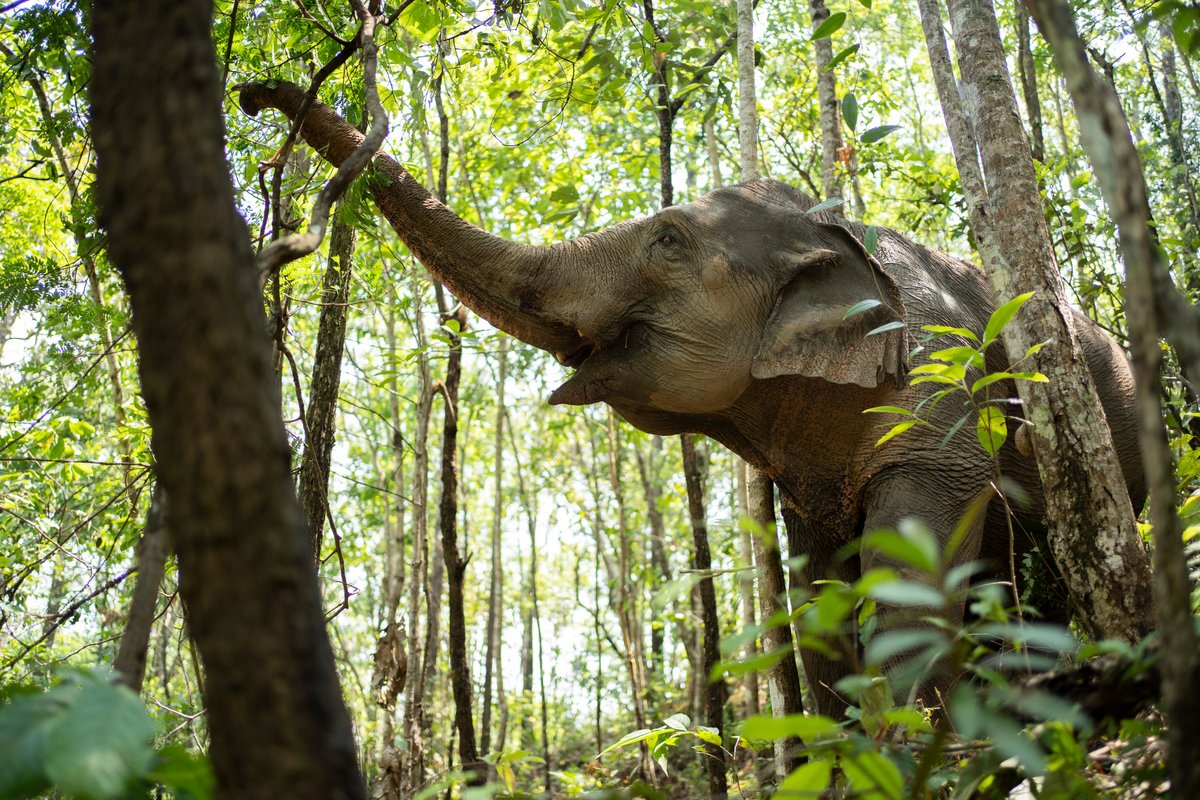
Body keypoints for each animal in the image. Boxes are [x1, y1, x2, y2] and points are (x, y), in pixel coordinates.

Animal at [236, 82, 1142, 719]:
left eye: (668, 240)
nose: (252, 94)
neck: (839, 233)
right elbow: (820, 600)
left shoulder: (938, 389)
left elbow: (907, 581)